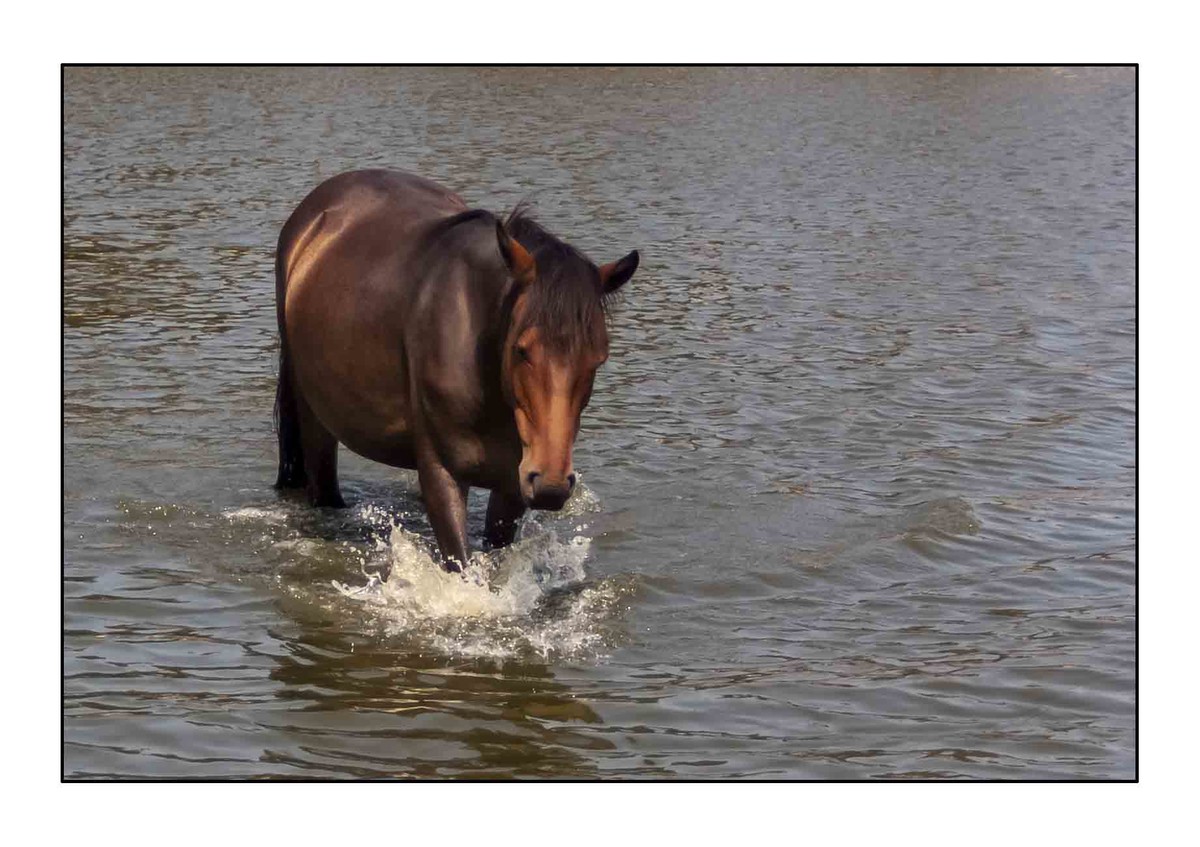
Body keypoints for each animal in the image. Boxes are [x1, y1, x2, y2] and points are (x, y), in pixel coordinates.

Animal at [270, 169, 638, 571]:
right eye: (522, 350)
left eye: (598, 357)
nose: (551, 486)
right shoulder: (442, 473)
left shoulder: (512, 484)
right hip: (315, 422)